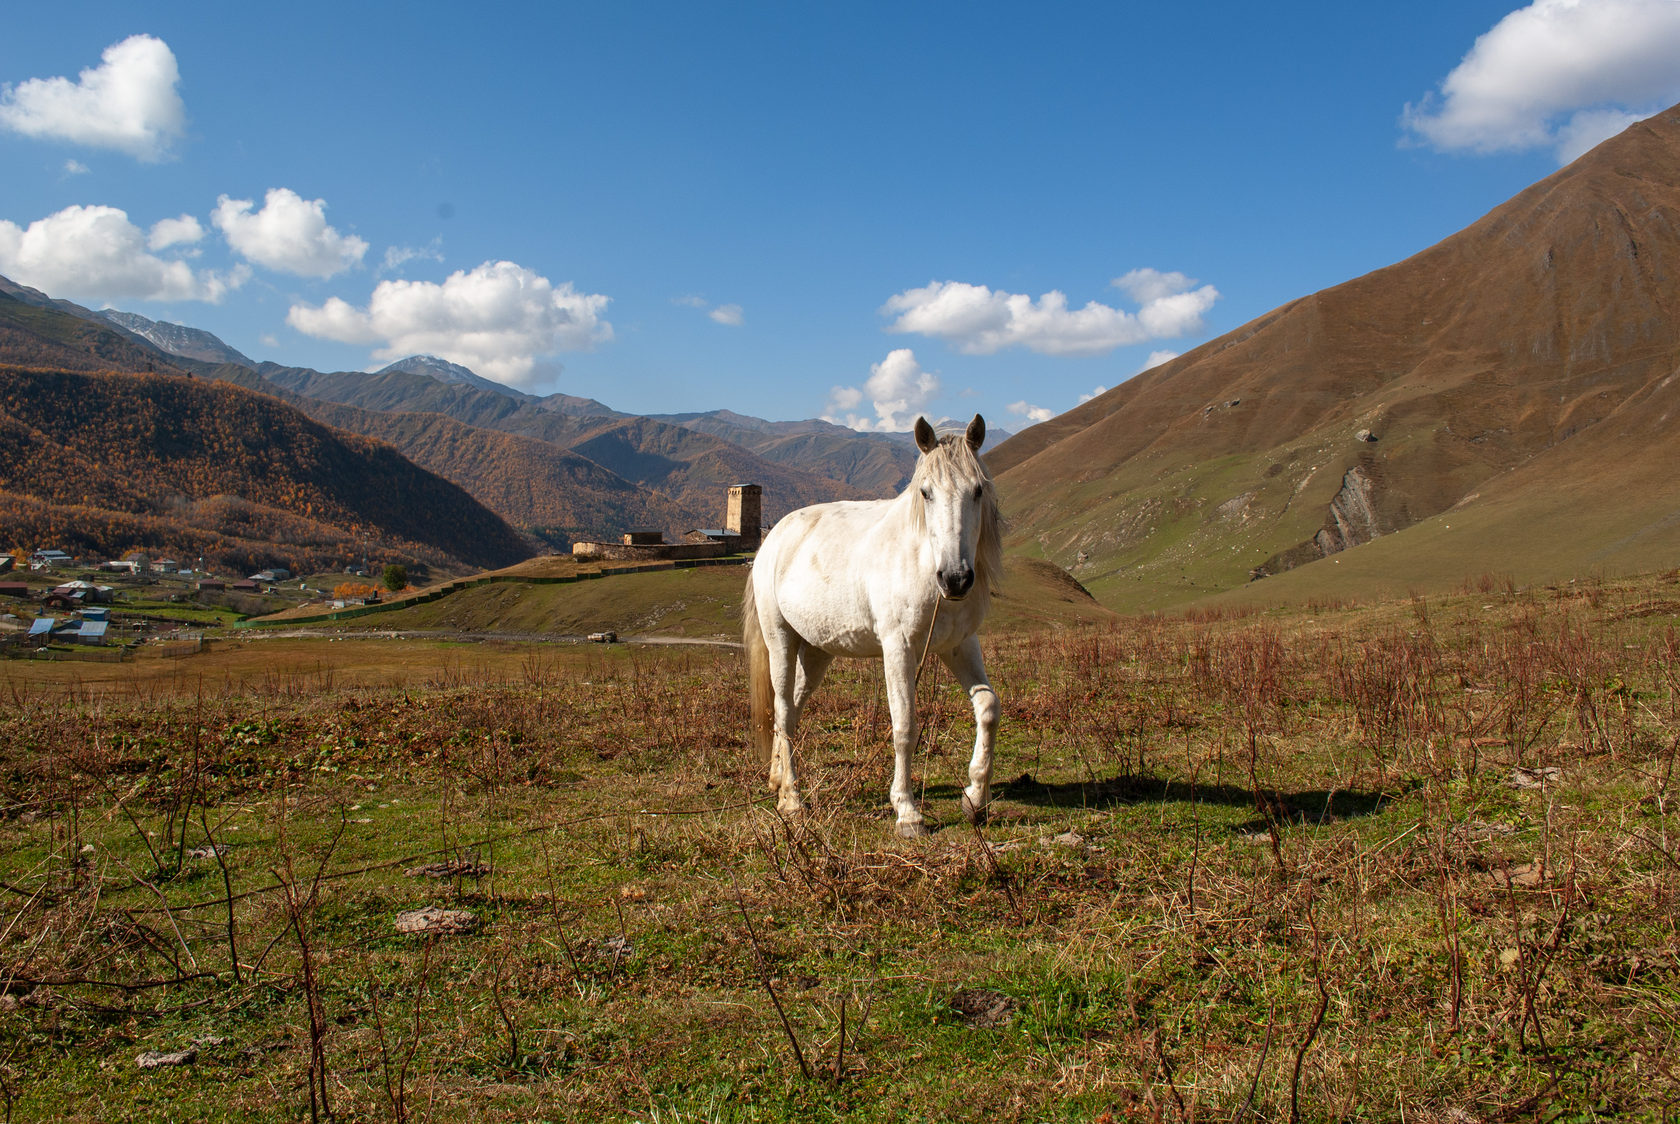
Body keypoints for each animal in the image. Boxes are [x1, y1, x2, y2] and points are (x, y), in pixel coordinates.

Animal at [745, 411, 1001, 833]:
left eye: (978, 490)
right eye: (926, 493)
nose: (955, 579)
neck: (922, 560)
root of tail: (774, 537)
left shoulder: (960, 645)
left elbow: (988, 707)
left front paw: (975, 800)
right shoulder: (898, 648)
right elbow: (905, 725)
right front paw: (907, 812)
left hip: (816, 653)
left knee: (792, 712)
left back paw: (777, 779)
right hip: (780, 641)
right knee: (781, 710)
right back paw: (793, 799)